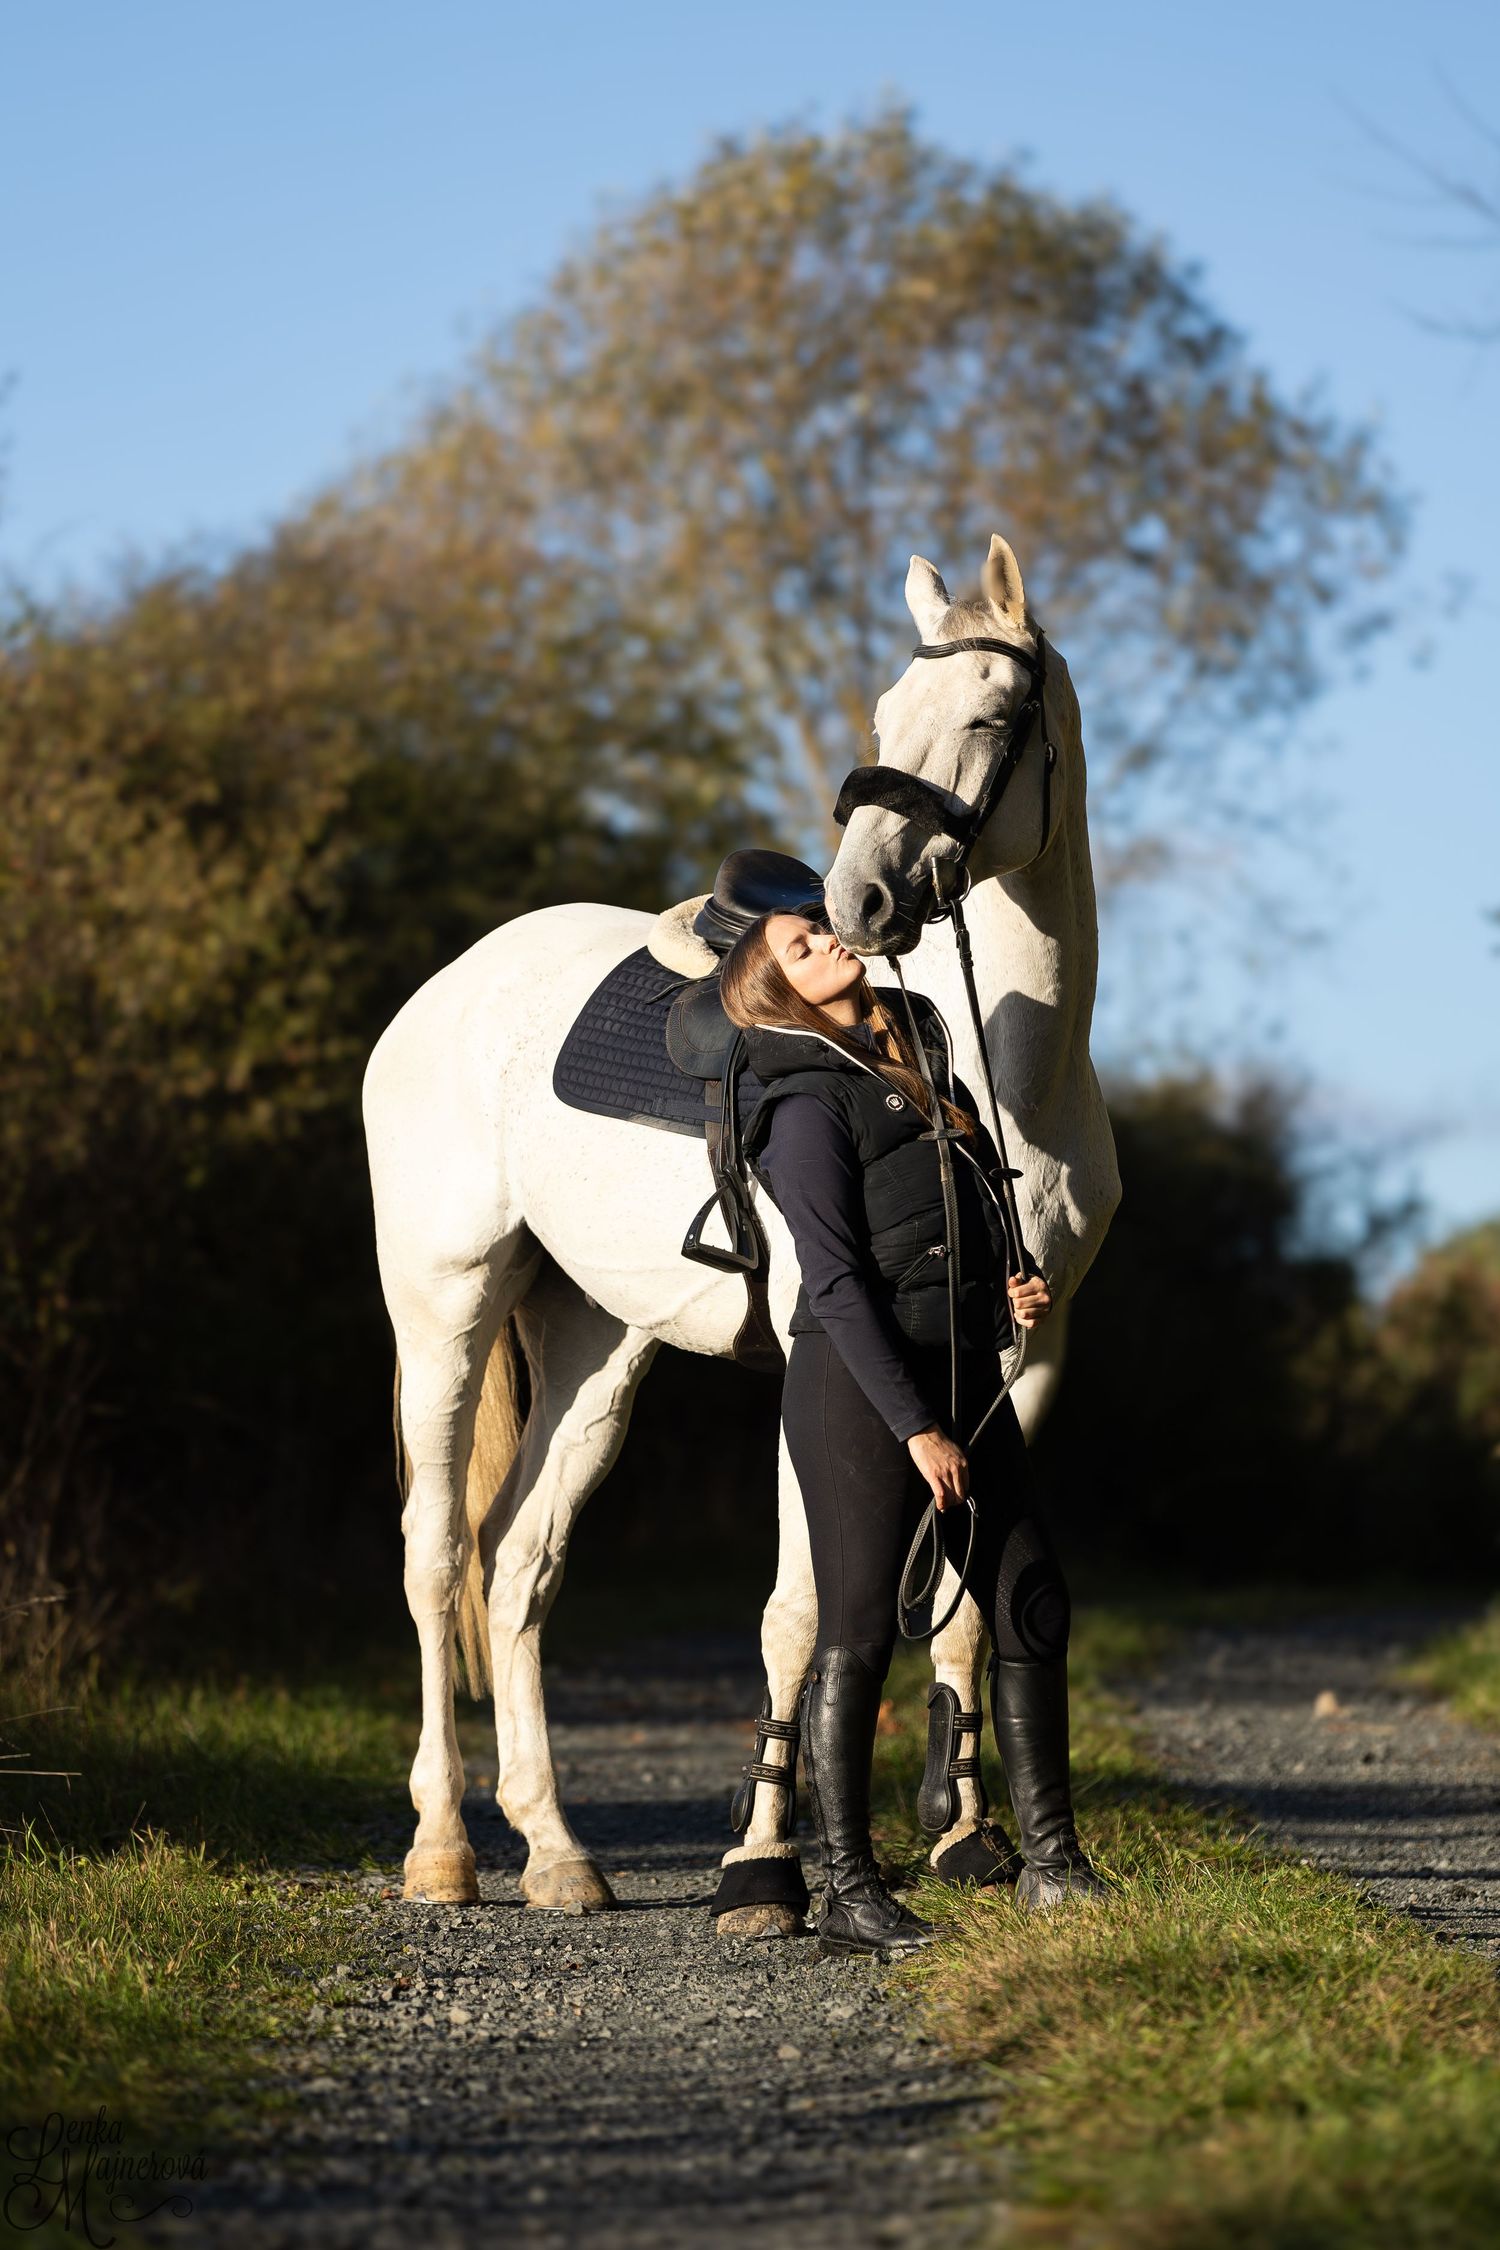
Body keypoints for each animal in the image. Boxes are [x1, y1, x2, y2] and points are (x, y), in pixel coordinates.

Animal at [361, 531, 1120, 1933]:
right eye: (885, 711)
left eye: (992, 715)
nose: (861, 900)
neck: (997, 1074)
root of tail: (444, 990)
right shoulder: (831, 1351)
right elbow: (801, 1608)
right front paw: (763, 1867)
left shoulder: (1020, 1361)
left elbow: (969, 1605)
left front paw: (966, 1835)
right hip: (446, 1305)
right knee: (437, 1558)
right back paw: (443, 1849)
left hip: (599, 1343)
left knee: (519, 1563)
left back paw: (556, 1852)